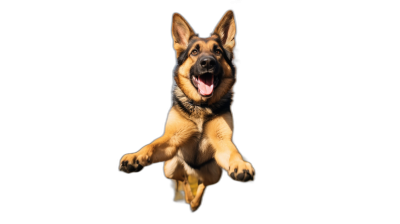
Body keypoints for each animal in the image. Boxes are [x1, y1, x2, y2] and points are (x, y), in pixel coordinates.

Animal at [119, 9, 256, 211]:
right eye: (194, 52)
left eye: (217, 51)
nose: (207, 63)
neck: (201, 106)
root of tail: (193, 170)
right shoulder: (171, 139)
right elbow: (151, 145)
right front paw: (136, 156)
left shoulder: (222, 142)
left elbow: (233, 153)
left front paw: (240, 165)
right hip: (170, 166)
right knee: (182, 178)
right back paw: (188, 196)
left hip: (213, 173)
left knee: (202, 183)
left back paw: (194, 202)